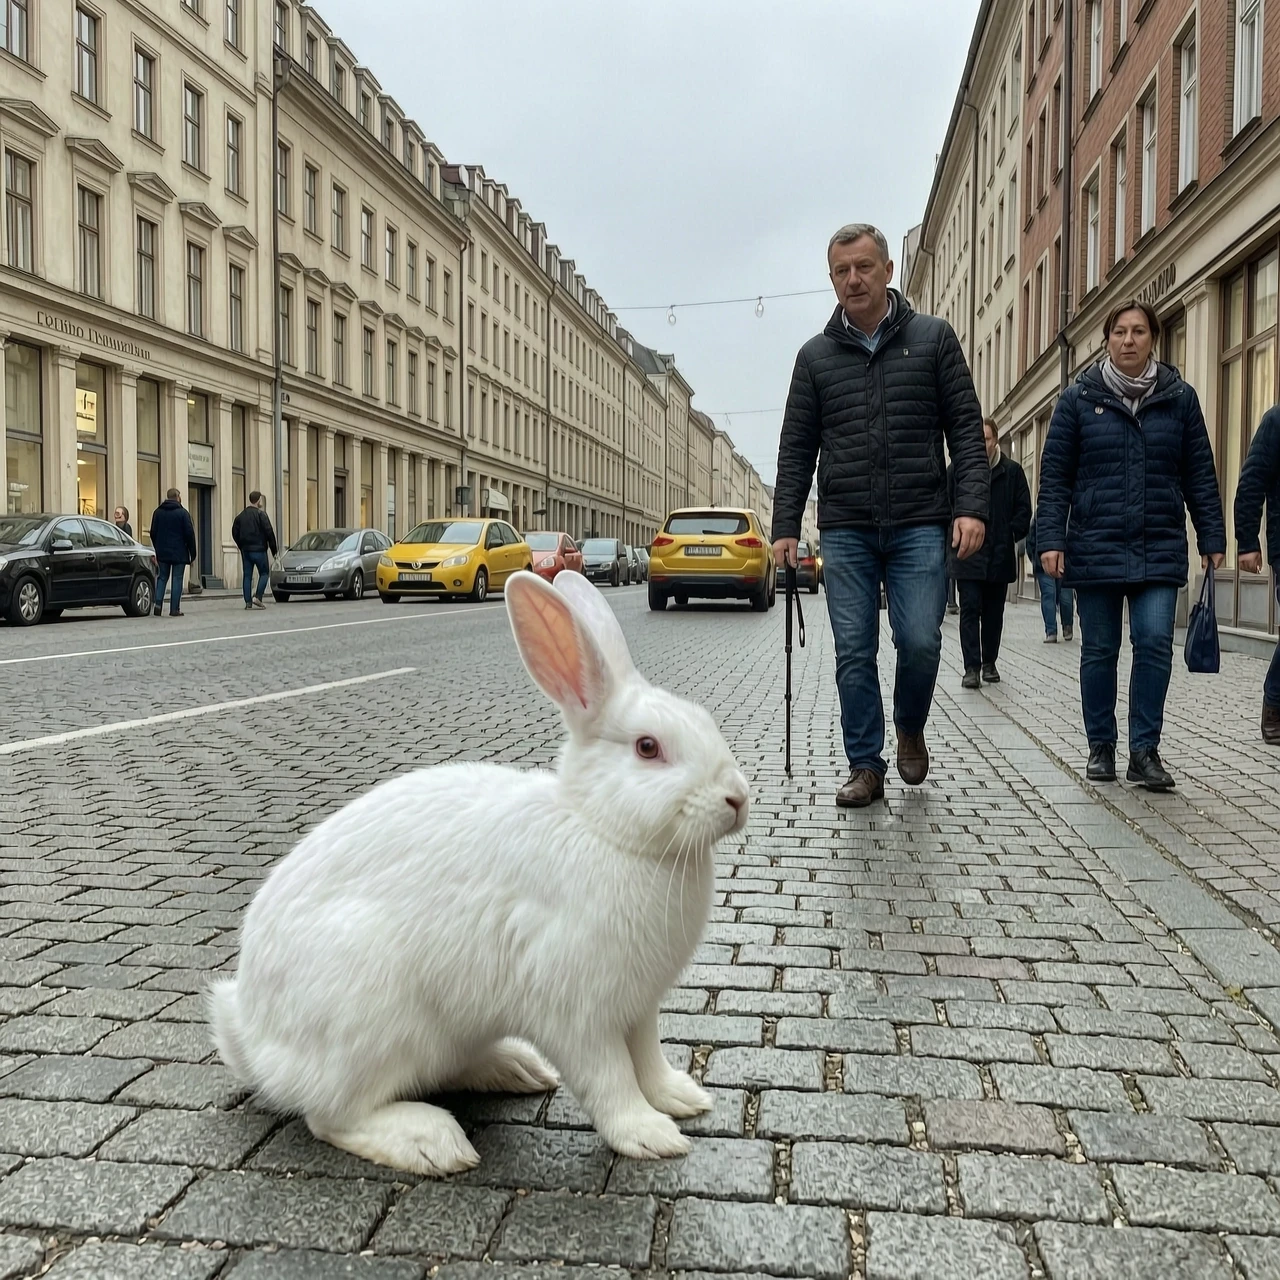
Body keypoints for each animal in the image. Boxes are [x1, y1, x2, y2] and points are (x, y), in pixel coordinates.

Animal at [210, 568, 750, 1176]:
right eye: (648, 747)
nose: (737, 798)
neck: (601, 829)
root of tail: (252, 1038)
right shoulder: (577, 1010)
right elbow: (609, 1078)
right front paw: (649, 1135)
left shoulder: (638, 1006)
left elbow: (648, 1059)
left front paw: (682, 1097)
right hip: (366, 1022)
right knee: (333, 1115)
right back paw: (431, 1141)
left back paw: (515, 1068)